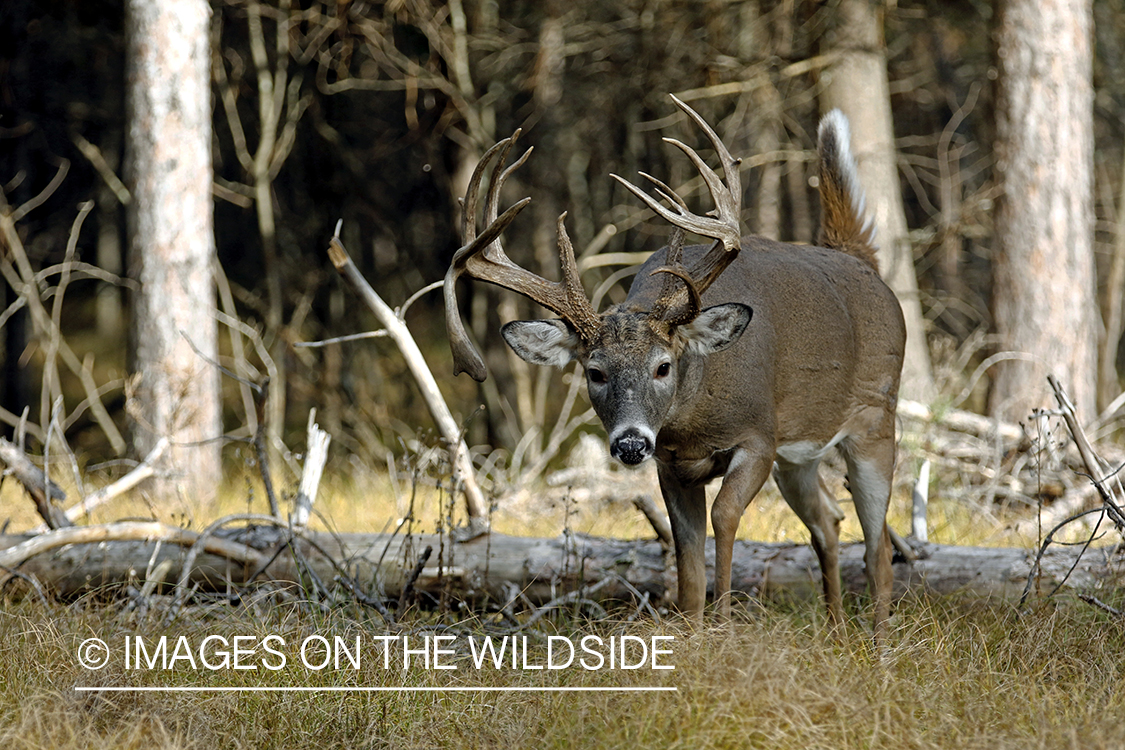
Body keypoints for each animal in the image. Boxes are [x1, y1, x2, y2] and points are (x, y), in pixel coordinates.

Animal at [443, 95, 909, 638]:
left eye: (663, 366)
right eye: (595, 372)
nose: (629, 443)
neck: (693, 421)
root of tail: (865, 265)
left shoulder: (758, 438)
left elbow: (725, 521)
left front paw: (723, 628)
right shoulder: (673, 466)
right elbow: (687, 563)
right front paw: (692, 634)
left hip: (875, 421)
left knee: (878, 547)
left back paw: (878, 644)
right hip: (800, 453)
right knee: (829, 521)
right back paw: (835, 632)